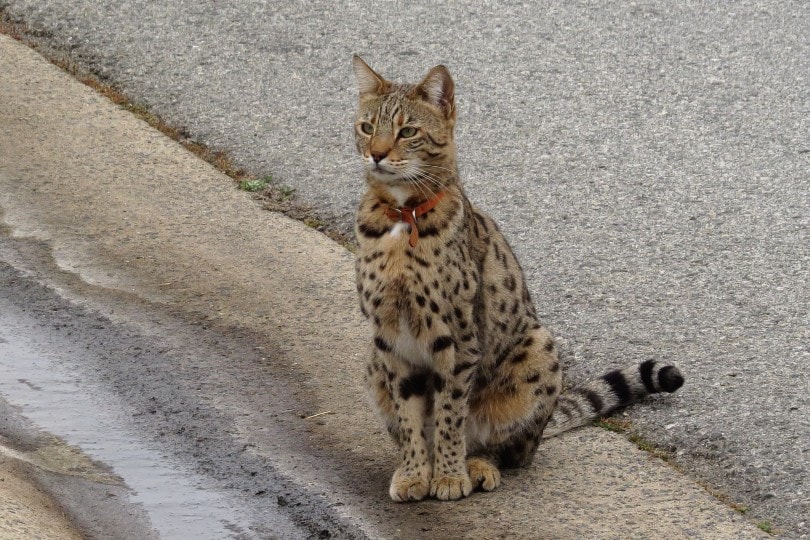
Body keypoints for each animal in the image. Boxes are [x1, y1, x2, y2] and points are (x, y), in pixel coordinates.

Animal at [348, 56, 680, 502]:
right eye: (367, 127)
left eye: (408, 131)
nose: (377, 154)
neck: (402, 219)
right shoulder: (390, 338)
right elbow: (411, 417)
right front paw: (417, 473)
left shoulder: (458, 337)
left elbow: (450, 414)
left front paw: (449, 475)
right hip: (372, 360)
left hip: (539, 350)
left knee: (508, 450)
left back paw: (476, 465)